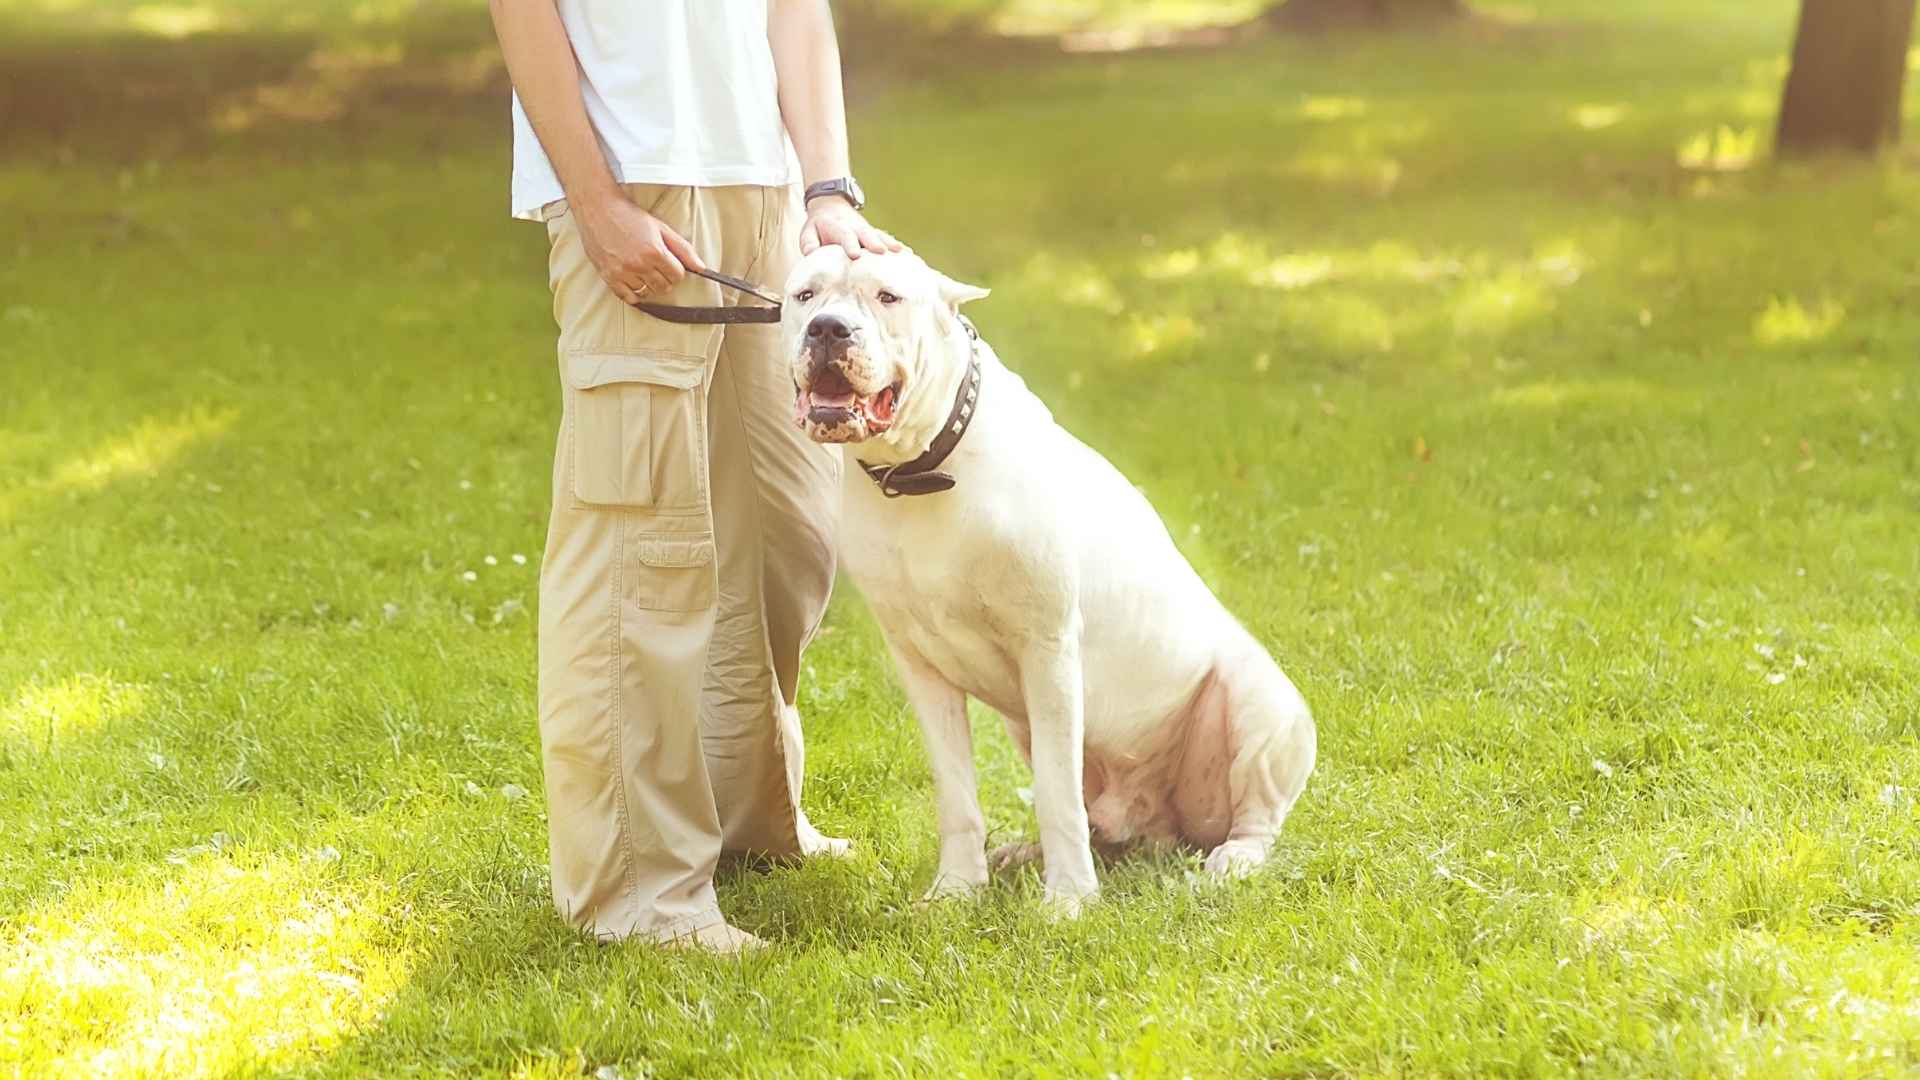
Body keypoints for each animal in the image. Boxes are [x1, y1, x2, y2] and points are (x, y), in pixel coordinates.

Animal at [787, 247, 1313, 910]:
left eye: (888, 297)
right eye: (804, 296)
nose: (827, 329)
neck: (922, 471)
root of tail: (1161, 828)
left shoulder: (1048, 649)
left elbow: (1057, 793)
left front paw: (1069, 900)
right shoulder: (921, 666)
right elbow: (958, 792)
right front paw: (957, 889)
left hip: (1261, 703)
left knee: (1253, 817)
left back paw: (1233, 858)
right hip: (1030, 731)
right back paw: (1025, 853)